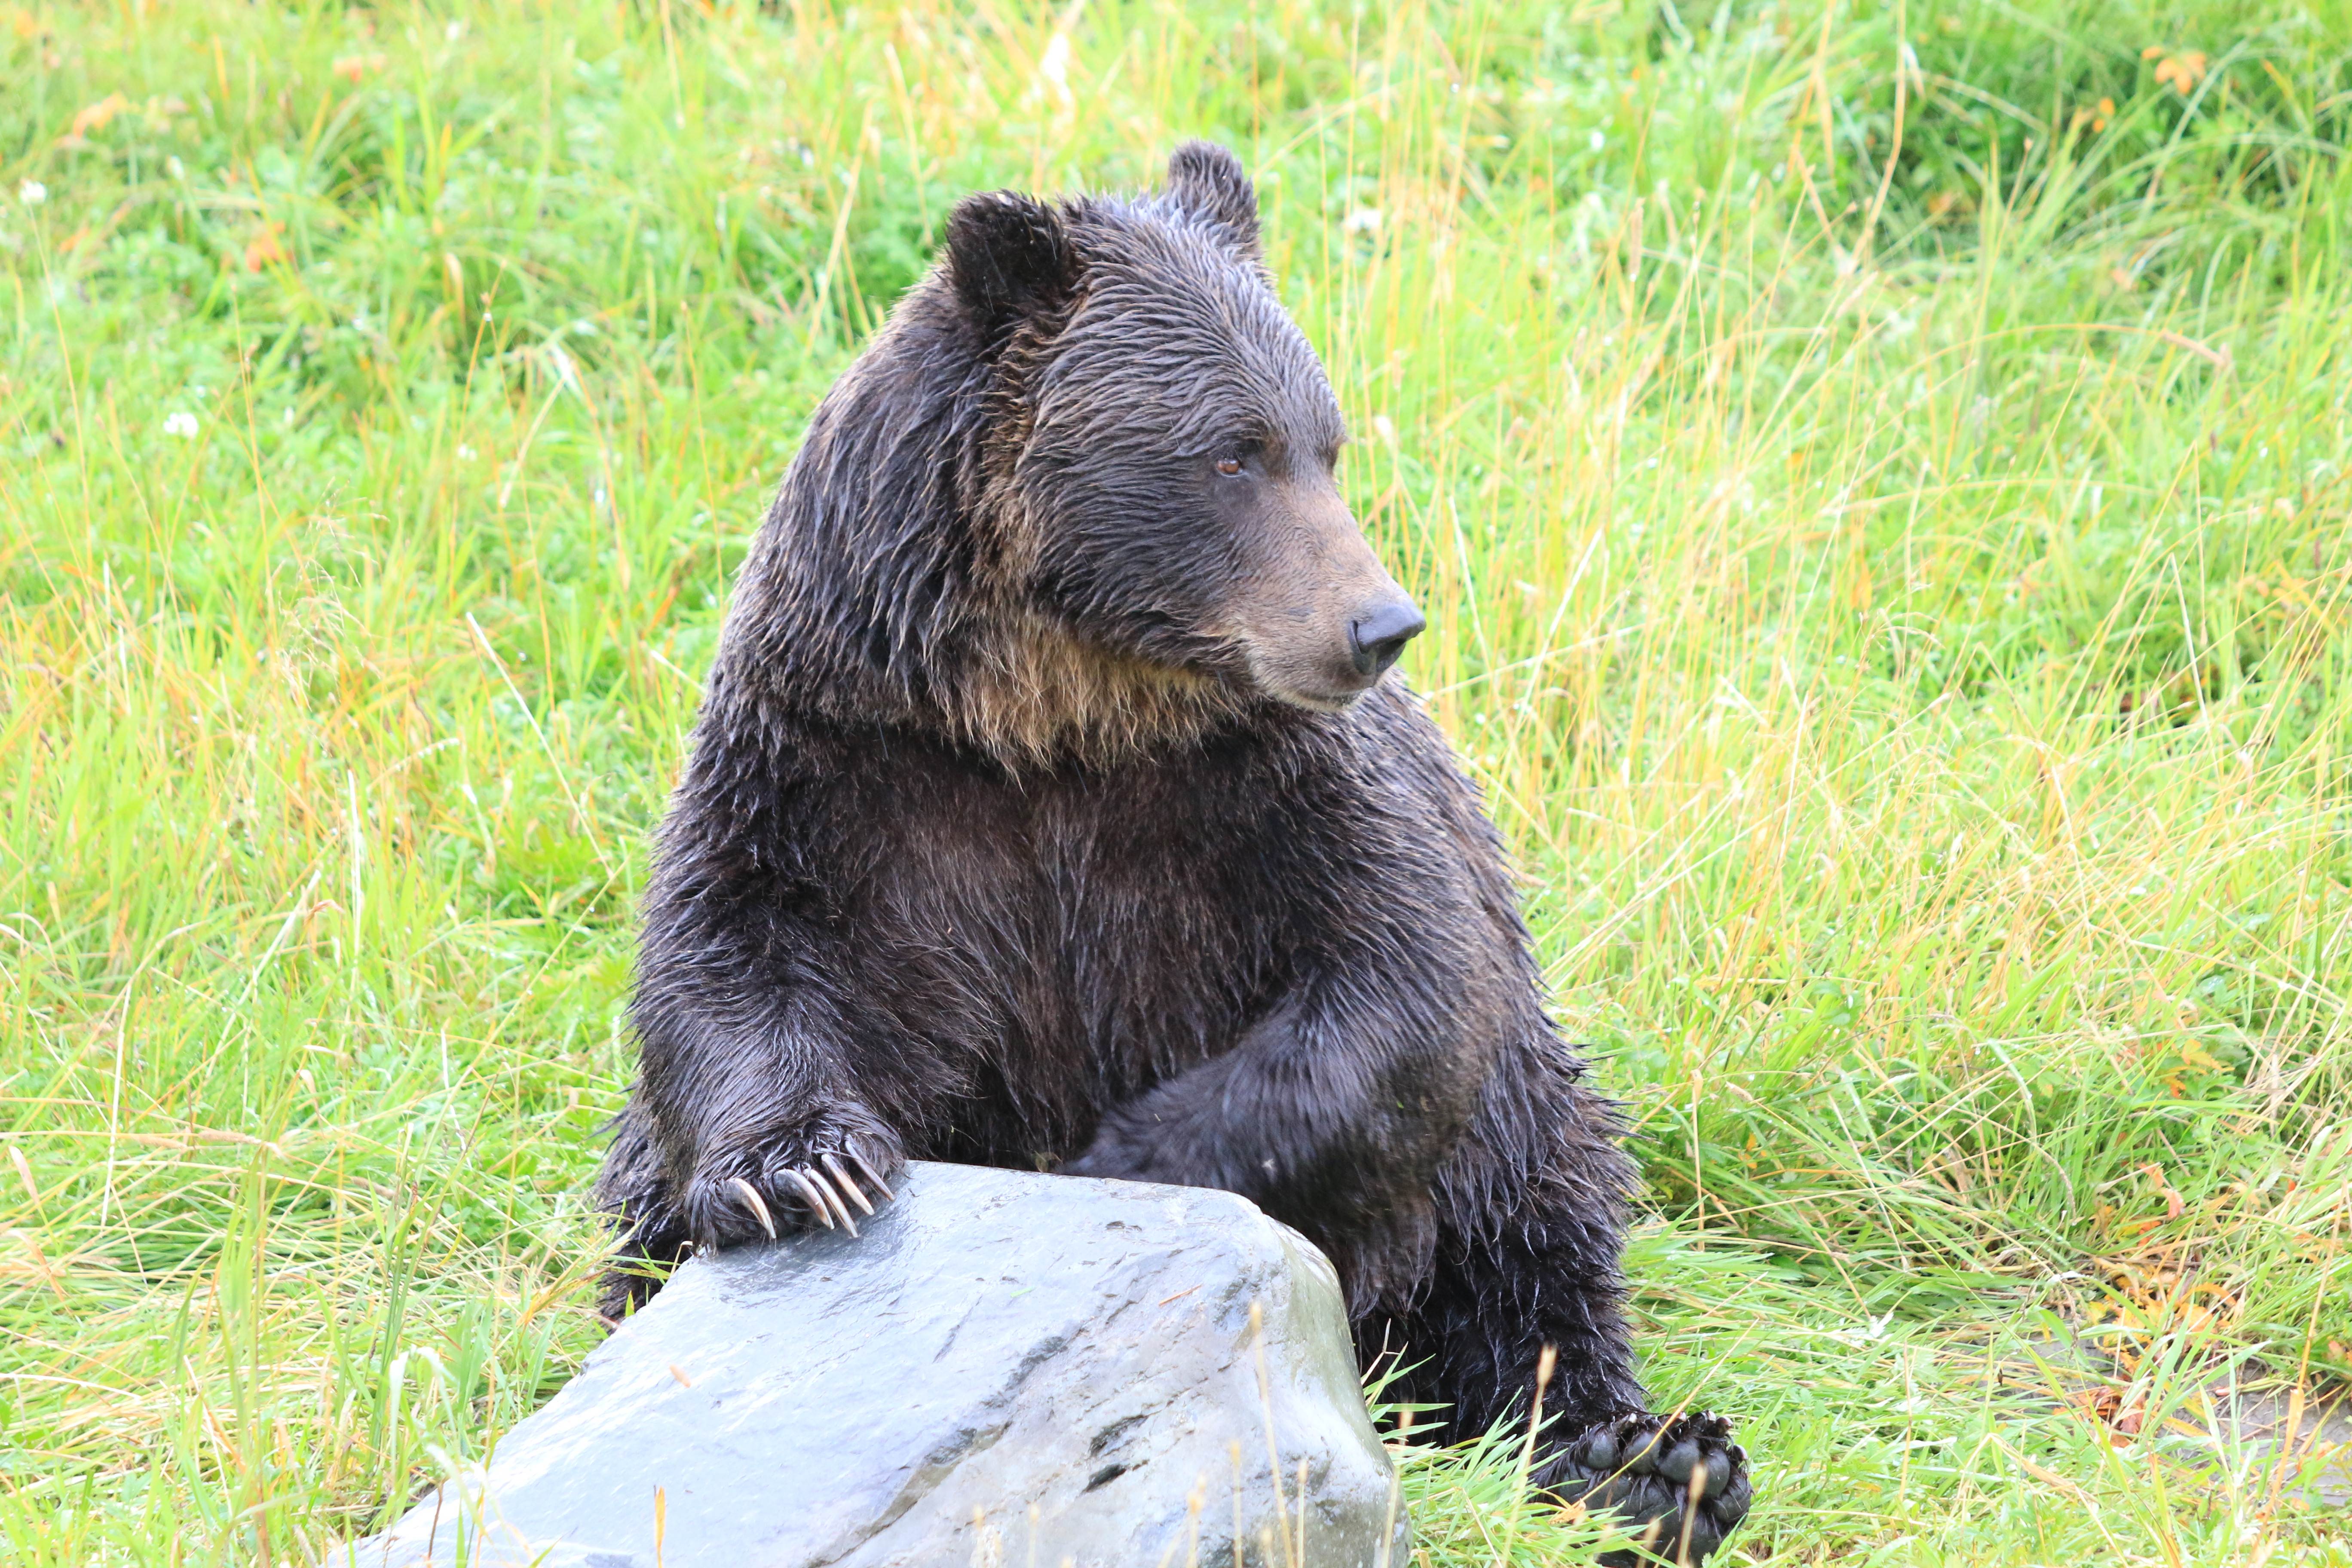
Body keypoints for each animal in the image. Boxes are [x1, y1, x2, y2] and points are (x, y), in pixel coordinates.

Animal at [594, 143, 1752, 1562]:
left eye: (1325, 441)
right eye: (1233, 452)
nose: (1379, 622)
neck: (1060, 712)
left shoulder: (1271, 795)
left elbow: (1404, 987)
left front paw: (1117, 1163)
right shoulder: (843, 761)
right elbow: (730, 953)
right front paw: (804, 1175)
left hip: (1507, 1146)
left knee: (1535, 1233)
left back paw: (1650, 1455)